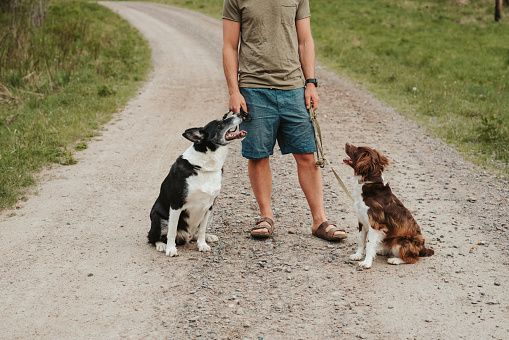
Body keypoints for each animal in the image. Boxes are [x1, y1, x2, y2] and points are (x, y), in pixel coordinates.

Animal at [148, 113, 245, 256]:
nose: (240, 113)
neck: (205, 167)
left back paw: (208, 237)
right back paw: (161, 245)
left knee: (196, 233)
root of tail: (186, 236)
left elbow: (202, 230)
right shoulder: (176, 205)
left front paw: (202, 244)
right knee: (153, 237)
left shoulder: (209, 206)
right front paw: (171, 249)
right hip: (157, 218)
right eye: (219, 124)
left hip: (211, 214)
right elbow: (172, 230)